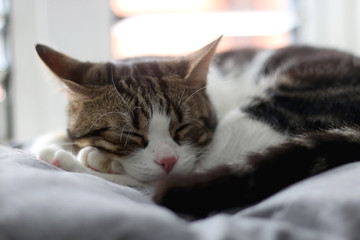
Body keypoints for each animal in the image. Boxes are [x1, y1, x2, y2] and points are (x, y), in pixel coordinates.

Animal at [33, 36, 360, 218]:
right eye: (129, 135)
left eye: (183, 128)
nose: (168, 160)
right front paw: (53, 139)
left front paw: (85, 157)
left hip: (285, 99)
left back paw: (76, 161)